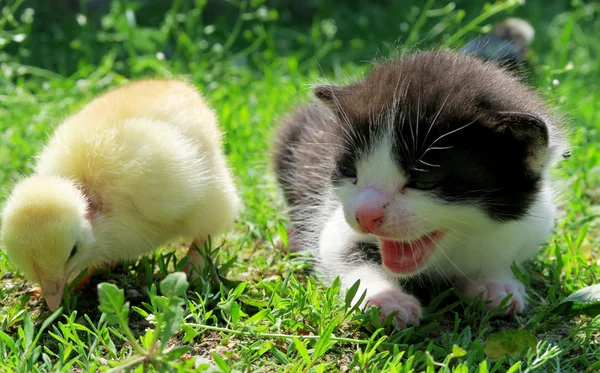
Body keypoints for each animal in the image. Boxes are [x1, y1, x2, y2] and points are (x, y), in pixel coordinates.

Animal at [272, 48, 568, 326]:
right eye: (347, 171)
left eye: (424, 182)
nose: (366, 215)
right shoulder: (336, 223)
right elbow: (343, 251)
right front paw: (386, 299)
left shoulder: (531, 226)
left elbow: (503, 256)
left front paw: (494, 283)